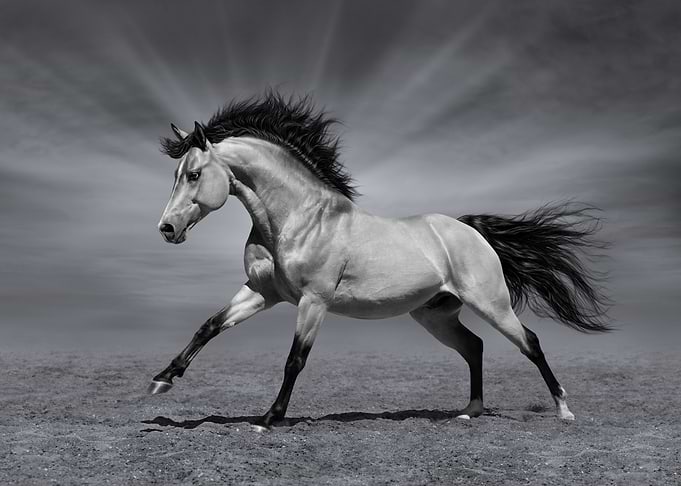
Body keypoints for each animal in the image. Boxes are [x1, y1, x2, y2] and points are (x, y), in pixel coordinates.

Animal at [148, 92, 610, 428]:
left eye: (193, 174)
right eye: (176, 175)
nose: (167, 229)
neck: (299, 220)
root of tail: (471, 231)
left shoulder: (313, 302)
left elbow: (295, 360)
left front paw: (268, 418)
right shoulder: (262, 292)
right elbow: (209, 326)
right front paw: (162, 380)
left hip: (491, 304)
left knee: (529, 342)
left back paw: (564, 411)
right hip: (435, 315)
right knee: (474, 346)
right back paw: (469, 412)